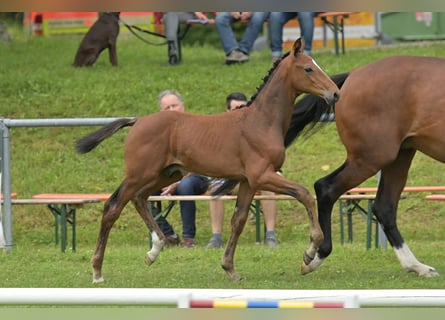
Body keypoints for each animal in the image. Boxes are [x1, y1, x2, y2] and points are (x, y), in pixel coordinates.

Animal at [76, 38, 340, 284]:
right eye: (308, 68)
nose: (335, 93)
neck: (262, 122)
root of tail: (138, 121)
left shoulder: (248, 181)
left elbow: (238, 220)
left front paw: (230, 270)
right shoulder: (261, 175)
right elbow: (304, 194)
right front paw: (310, 251)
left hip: (167, 174)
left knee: (139, 198)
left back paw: (154, 250)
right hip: (139, 173)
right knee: (113, 207)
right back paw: (97, 271)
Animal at [282, 55, 444, 278]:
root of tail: (353, 76)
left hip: (398, 155)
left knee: (384, 207)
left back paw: (416, 266)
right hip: (372, 157)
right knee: (326, 188)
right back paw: (316, 255)